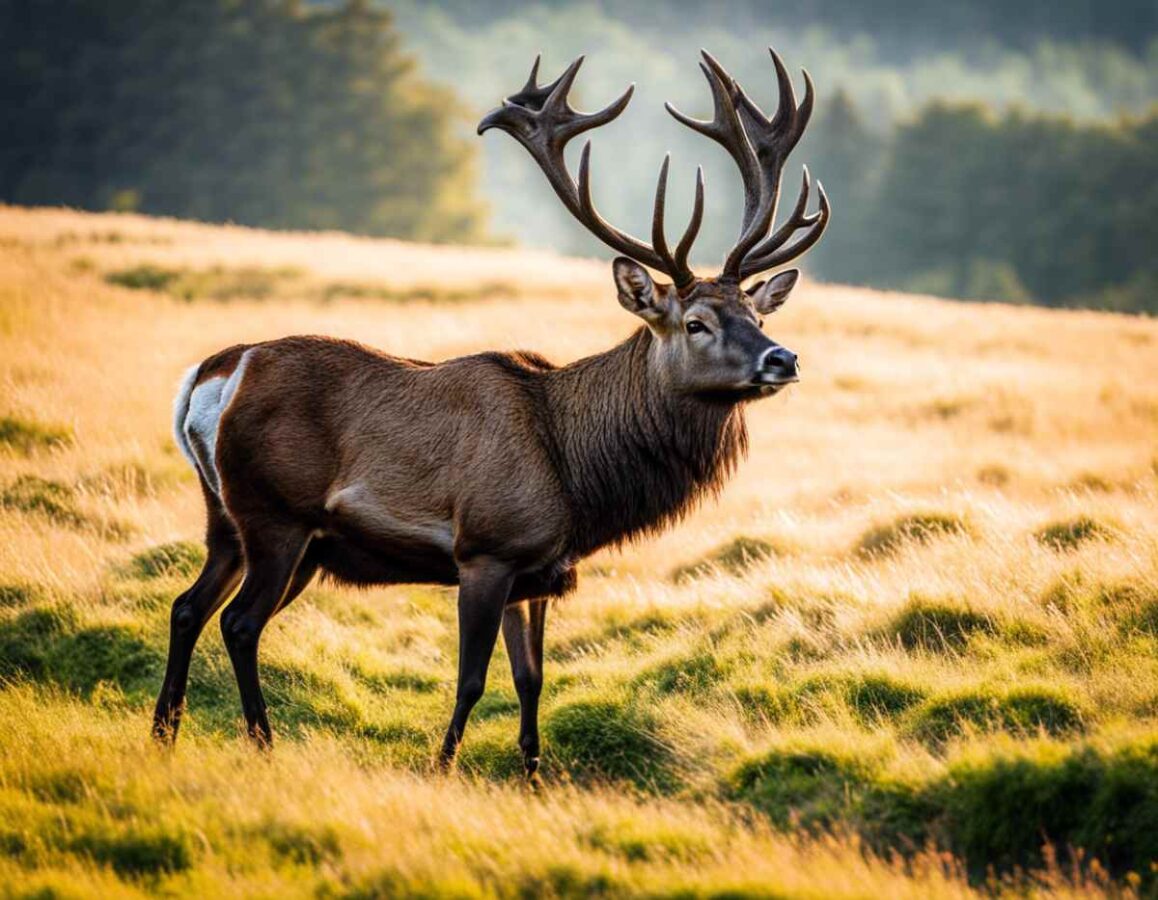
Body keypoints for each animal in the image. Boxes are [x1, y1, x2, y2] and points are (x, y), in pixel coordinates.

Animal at [152, 48, 829, 780]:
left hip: (228, 518)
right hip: (278, 514)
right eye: (697, 322)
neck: (576, 475)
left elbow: (532, 679)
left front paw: (534, 775)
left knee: (188, 607)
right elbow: (472, 679)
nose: (783, 359)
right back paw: (260, 740)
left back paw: (164, 731)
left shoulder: (538, 570)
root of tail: (212, 376)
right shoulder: (486, 547)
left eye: (758, 315)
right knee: (239, 623)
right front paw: (443, 766)